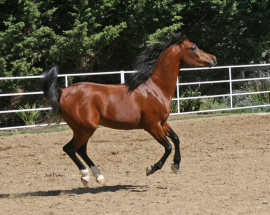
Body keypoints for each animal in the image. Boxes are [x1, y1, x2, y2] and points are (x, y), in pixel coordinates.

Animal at [42, 33, 216, 186]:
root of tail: (62, 92)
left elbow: (176, 139)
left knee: (81, 150)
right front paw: (151, 168)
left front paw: (176, 165)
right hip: (85, 128)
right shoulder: (152, 126)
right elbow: (168, 147)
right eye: (193, 47)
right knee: (70, 148)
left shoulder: (162, 123)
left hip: (82, 129)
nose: (213, 58)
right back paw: (85, 176)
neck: (156, 88)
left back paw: (99, 177)